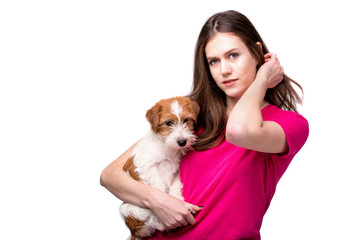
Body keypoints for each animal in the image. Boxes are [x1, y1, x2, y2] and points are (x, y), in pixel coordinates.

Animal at [120, 96, 200, 240]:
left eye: (186, 120)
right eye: (168, 123)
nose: (182, 142)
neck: (167, 146)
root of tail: (133, 231)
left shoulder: (176, 171)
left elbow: (174, 187)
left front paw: (178, 201)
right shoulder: (146, 167)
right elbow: (160, 188)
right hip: (129, 209)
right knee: (156, 223)